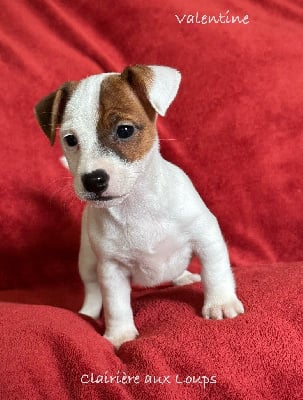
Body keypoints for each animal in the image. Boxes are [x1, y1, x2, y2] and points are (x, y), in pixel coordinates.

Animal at [35, 64, 245, 348]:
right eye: (70, 139)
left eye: (124, 130)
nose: (93, 180)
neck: (136, 206)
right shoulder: (111, 269)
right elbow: (116, 305)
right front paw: (120, 333)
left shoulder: (206, 236)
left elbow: (216, 271)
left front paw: (220, 302)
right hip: (87, 260)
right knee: (92, 289)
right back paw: (88, 312)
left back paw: (183, 277)